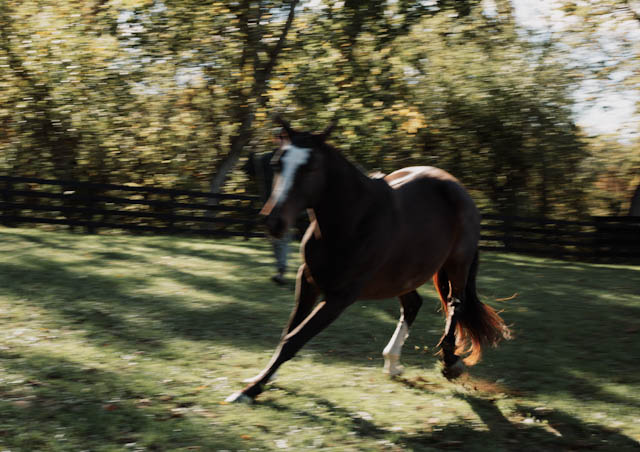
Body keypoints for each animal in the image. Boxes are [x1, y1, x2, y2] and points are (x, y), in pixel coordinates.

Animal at [226, 118, 511, 403]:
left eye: (311, 167)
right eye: (277, 162)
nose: (273, 222)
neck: (352, 221)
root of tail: (459, 189)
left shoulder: (341, 296)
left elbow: (294, 340)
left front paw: (249, 391)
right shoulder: (307, 280)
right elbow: (288, 332)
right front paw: (262, 377)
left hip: (456, 265)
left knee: (455, 304)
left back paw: (450, 362)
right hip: (403, 275)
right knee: (413, 304)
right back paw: (393, 362)